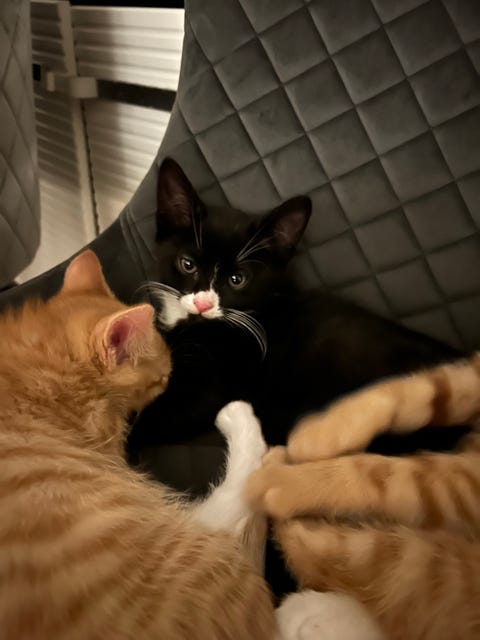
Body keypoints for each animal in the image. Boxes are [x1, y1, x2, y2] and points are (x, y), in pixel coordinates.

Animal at [247, 354, 480, 640]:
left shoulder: (466, 485)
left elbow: (384, 475)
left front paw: (289, 481)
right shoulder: (471, 376)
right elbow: (423, 389)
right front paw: (326, 431)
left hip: (426, 567)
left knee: (334, 558)